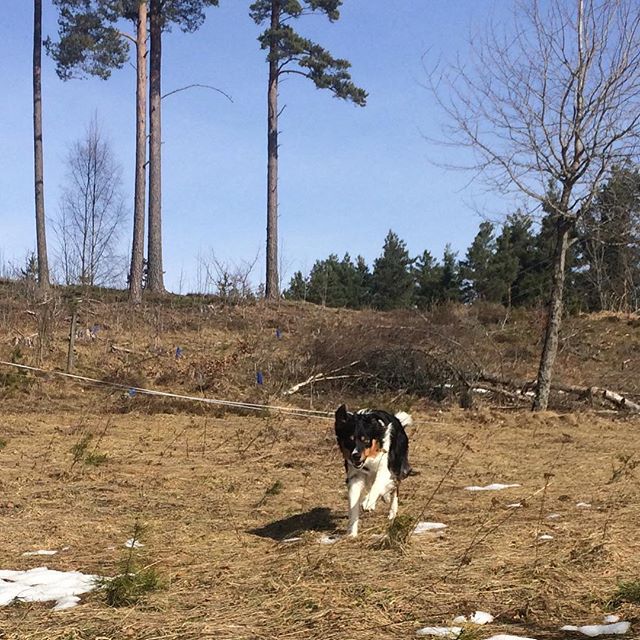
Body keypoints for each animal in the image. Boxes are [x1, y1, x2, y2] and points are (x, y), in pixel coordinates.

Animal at [336, 408, 416, 536]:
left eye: (365, 440)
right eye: (350, 439)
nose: (356, 456)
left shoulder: (385, 468)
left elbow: (378, 485)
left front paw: (369, 502)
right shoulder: (355, 475)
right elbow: (353, 504)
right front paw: (352, 533)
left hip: (397, 465)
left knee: (395, 488)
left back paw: (392, 511)